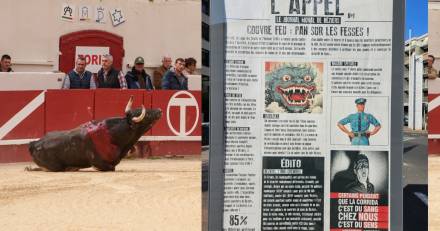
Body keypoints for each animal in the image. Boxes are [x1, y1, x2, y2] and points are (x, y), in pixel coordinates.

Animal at [27, 96, 162, 171]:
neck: (113, 136)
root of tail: (34, 144)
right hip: (55, 167)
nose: (159, 110)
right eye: (146, 115)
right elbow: (111, 168)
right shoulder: (98, 162)